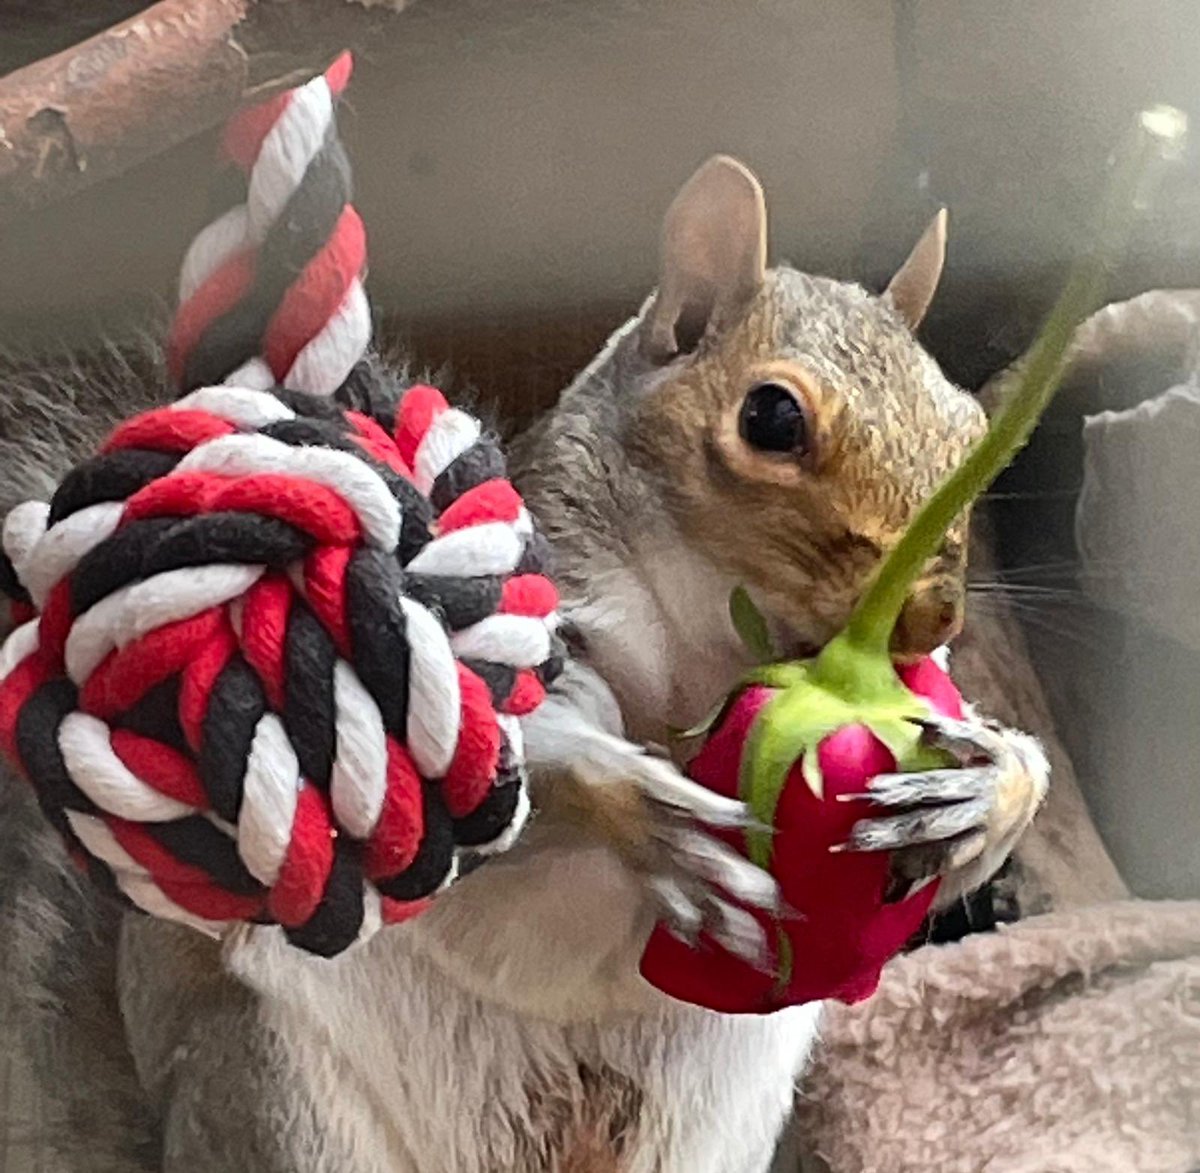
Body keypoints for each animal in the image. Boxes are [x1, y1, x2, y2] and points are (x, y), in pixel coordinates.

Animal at [0, 157, 1047, 1173]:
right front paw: (642, 809)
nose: (930, 613)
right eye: (772, 418)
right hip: (280, 1093)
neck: (708, 658)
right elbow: (495, 782)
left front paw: (988, 788)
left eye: (967, 425)